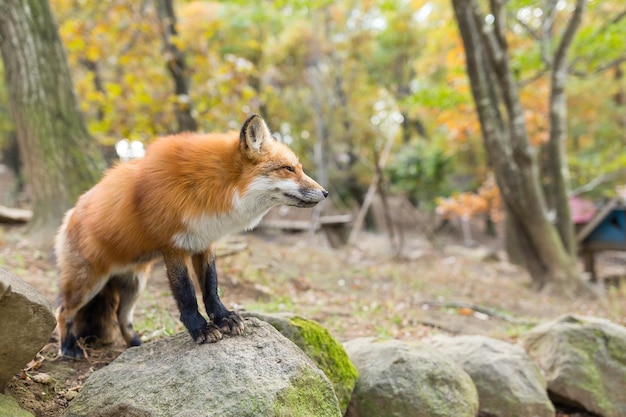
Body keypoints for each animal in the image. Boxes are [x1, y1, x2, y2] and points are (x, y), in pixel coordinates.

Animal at [54, 113, 326, 354]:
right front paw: (200, 329)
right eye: (288, 169)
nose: (325, 193)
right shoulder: (174, 246)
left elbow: (210, 287)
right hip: (87, 284)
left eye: (299, 168)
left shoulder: (204, 241)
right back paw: (68, 347)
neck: (206, 188)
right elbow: (186, 293)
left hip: (135, 285)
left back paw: (136, 345)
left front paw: (224, 317)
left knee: (122, 317)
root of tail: (70, 214)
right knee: (63, 312)